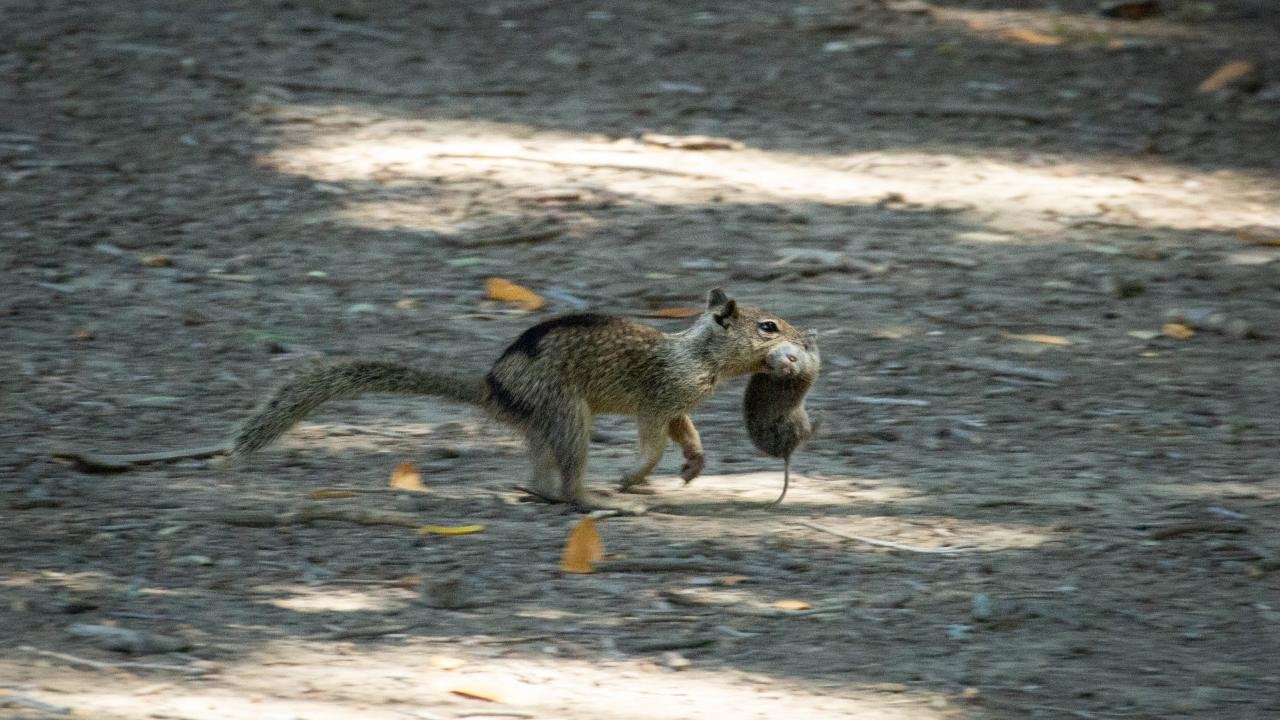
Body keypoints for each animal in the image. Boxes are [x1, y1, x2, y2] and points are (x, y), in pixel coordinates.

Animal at [225, 285, 803, 509]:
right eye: (768, 326)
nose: (804, 340)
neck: (698, 354)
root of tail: (492, 387)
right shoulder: (658, 399)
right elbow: (654, 441)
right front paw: (635, 474)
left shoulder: (679, 406)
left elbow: (688, 433)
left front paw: (693, 465)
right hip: (567, 413)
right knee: (568, 482)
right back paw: (597, 499)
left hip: (545, 422)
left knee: (540, 476)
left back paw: (541, 491)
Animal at [742, 326, 819, 504]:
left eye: (791, 358)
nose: (789, 370)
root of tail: (786, 453)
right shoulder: (810, 366)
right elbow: (815, 356)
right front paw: (810, 336)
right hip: (800, 422)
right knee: (807, 433)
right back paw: (819, 417)